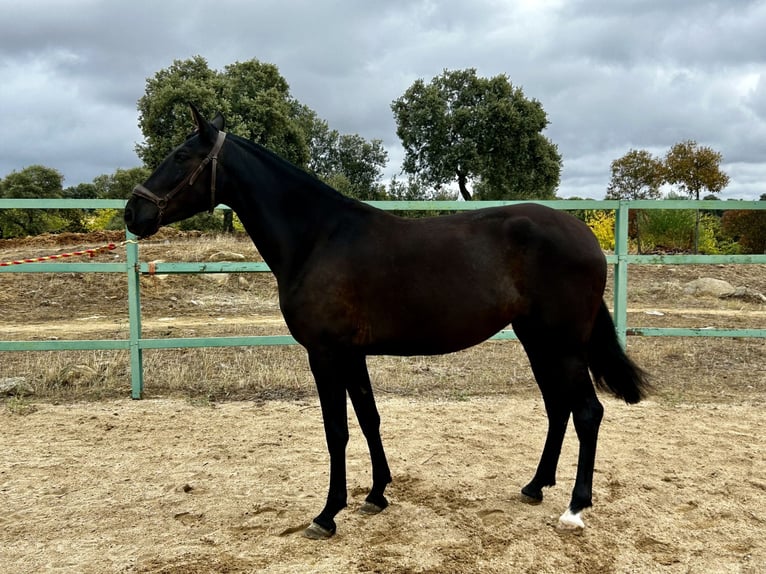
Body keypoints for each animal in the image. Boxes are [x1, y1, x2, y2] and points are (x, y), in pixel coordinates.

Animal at [124, 106, 648, 544]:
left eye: (181, 156)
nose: (133, 213)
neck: (318, 238)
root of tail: (586, 236)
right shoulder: (352, 354)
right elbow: (369, 418)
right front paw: (377, 495)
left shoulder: (325, 354)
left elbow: (336, 430)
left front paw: (327, 515)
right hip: (537, 341)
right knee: (559, 408)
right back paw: (535, 485)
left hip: (562, 344)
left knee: (587, 412)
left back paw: (574, 508)